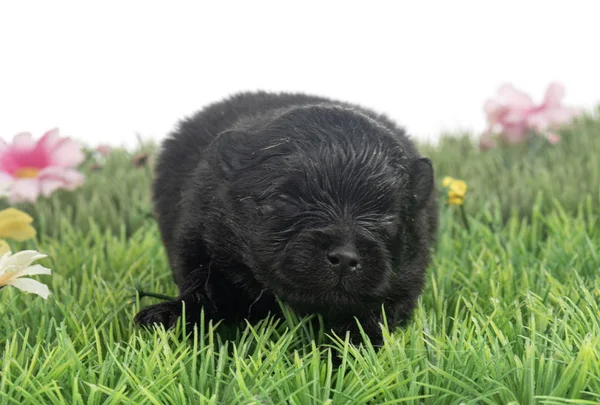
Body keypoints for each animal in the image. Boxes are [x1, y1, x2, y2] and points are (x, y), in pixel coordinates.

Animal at [135, 91, 436, 340]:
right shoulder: (201, 240)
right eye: (286, 201)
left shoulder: (404, 279)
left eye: (387, 218)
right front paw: (168, 317)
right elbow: (203, 289)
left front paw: (342, 357)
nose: (344, 258)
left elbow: (369, 321)